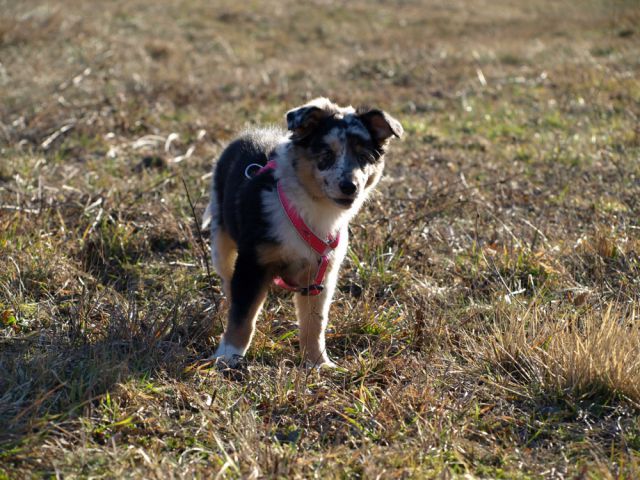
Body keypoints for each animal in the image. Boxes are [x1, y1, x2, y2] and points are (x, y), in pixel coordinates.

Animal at [202, 97, 402, 368]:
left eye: (364, 156)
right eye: (326, 154)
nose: (349, 186)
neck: (312, 208)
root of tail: (247, 134)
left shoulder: (320, 275)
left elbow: (314, 323)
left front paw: (318, 363)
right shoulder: (253, 263)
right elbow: (243, 315)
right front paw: (228, 357)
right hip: (221, 241)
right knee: (227, 281)